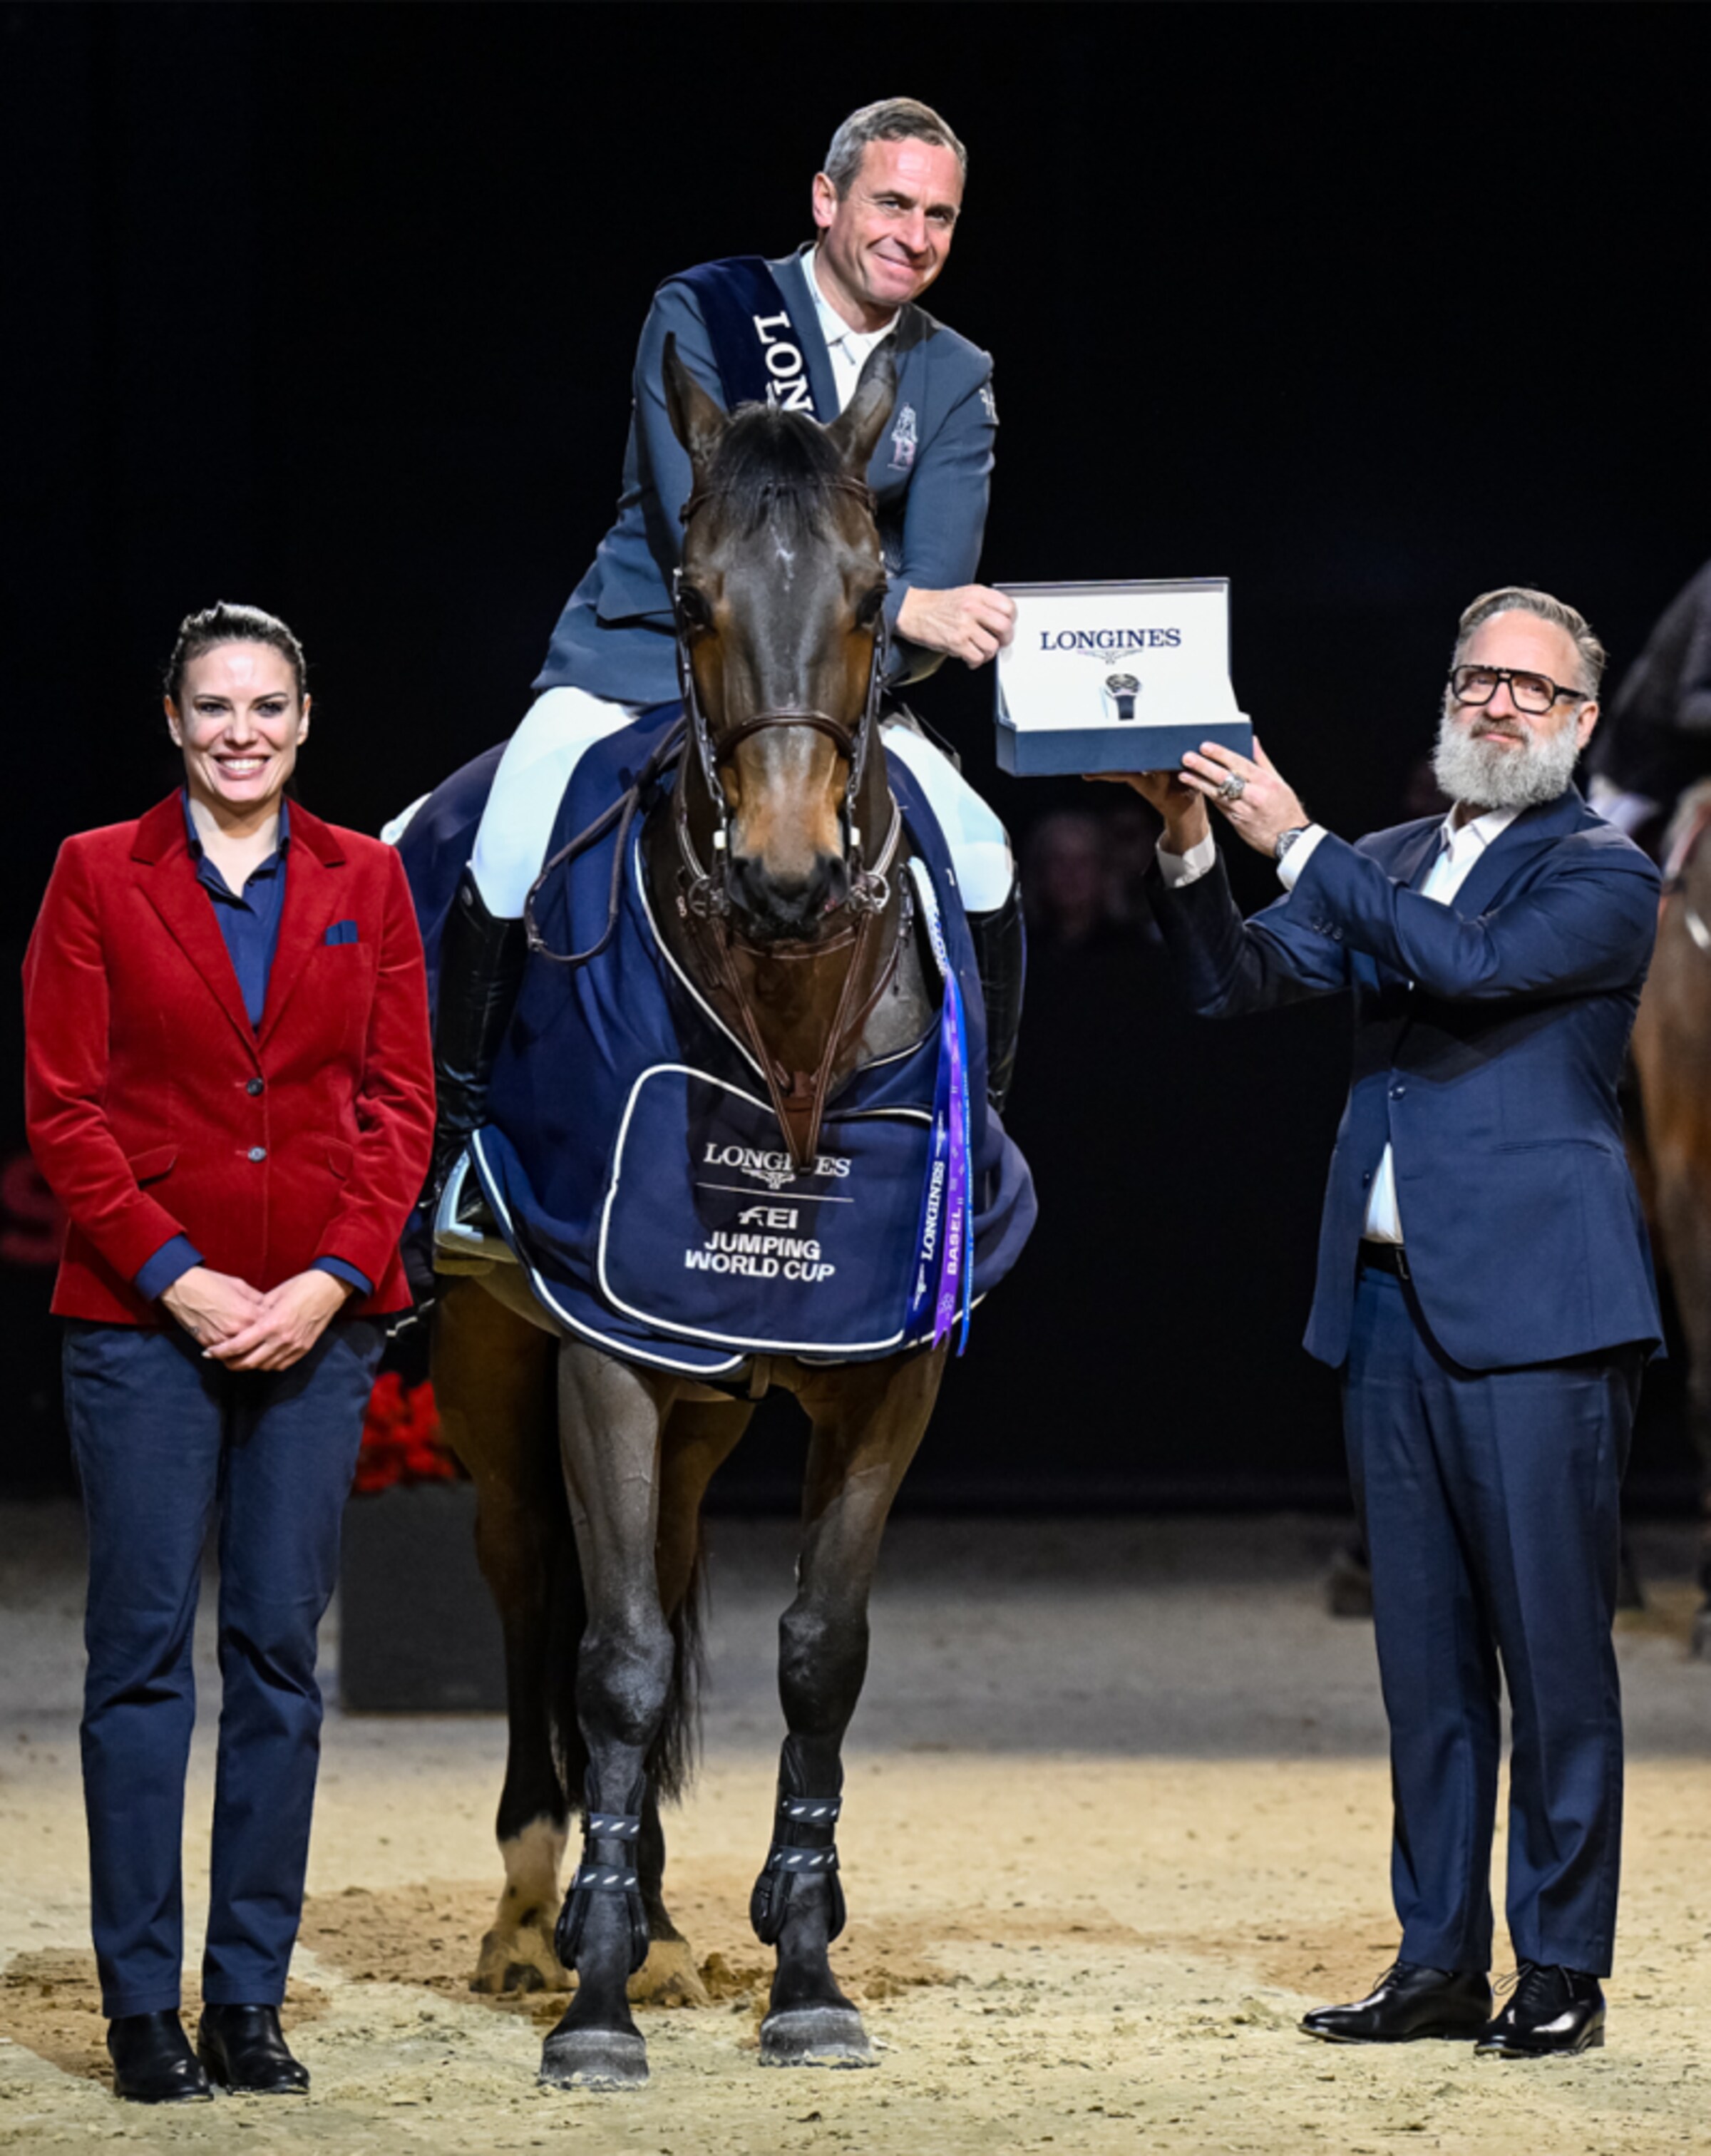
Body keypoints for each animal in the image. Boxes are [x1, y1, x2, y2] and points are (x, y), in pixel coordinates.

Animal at [426, 340, 1021, 2087]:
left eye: (879, 589)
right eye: (687, 595)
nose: (785, 873)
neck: (785, 1020)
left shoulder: (891, 1373)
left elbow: (817, 1653)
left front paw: (804, 1971)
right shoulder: (603, 1351)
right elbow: (616, 1663)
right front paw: (595, 2009)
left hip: (697, 1407)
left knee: (665, 1571)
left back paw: (664, 1922)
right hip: (496, 1373)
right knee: (536, 1587)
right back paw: (535, 1915)